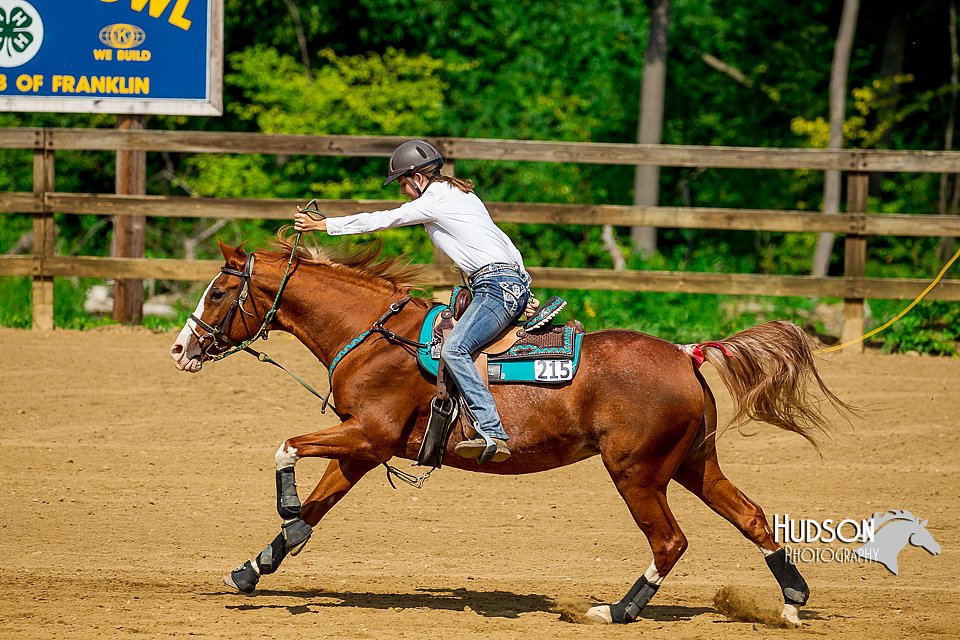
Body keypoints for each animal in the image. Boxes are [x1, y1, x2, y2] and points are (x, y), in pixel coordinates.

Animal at [169, 235, 852, 624]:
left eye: (219, 291)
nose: (180, 348)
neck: (374, 336)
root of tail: (687, 353)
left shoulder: (370, 435)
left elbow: (285, 450)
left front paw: (282, 509)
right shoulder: (362, 447)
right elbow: (314, 511)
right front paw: (251, 569)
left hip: (637, 473)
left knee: (670, 541)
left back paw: (617, 610)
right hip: (691, 463)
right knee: (752, 517)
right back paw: (791, 602)